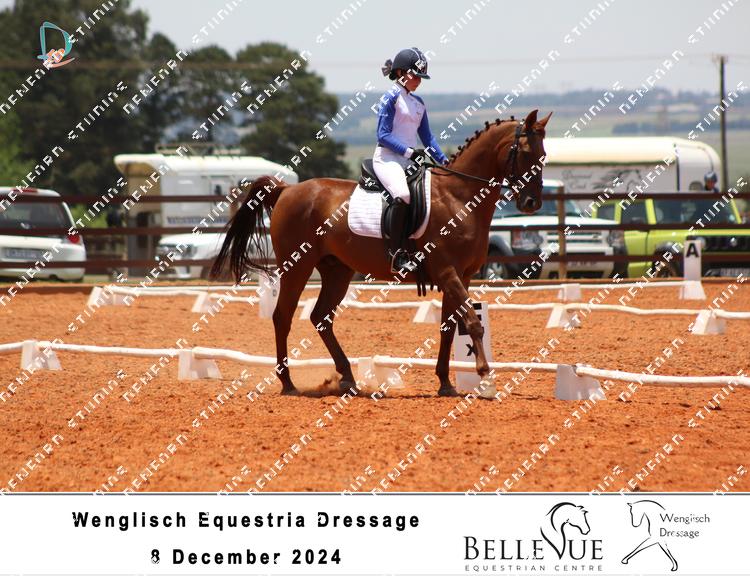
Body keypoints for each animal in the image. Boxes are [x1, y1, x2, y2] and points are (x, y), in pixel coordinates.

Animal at [210, 109, 551, 397]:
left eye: (544, 155)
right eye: (525, 152)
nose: (532, 203)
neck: (459, 197)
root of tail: (287, 190)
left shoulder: (462, 276)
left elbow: (449, 327)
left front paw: (445, 383)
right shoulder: (448, 273)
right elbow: (472, 322)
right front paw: (485, 378)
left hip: (337, 270)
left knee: (321, 317)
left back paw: (347, 378)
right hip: (297, 266)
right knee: (283, 316)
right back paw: (288, 383)